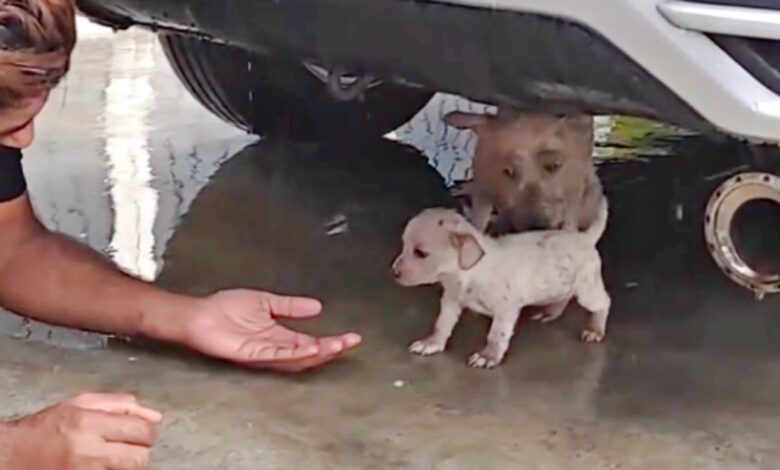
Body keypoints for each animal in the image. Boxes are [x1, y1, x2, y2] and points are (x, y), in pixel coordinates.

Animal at [390, 196, 608, 370]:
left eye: (420, 253)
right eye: (404, 244)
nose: (394, 272)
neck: (468, 273)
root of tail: (584, 237)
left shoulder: (506, 310)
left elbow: (496, 334)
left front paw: (488, 356)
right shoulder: (451, 301)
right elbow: (442, 323)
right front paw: (432, 342)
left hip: (587, 289)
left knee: (604, 303)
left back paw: (595, 329)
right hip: (560, 286)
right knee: (563, 298)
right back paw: (550, 312)